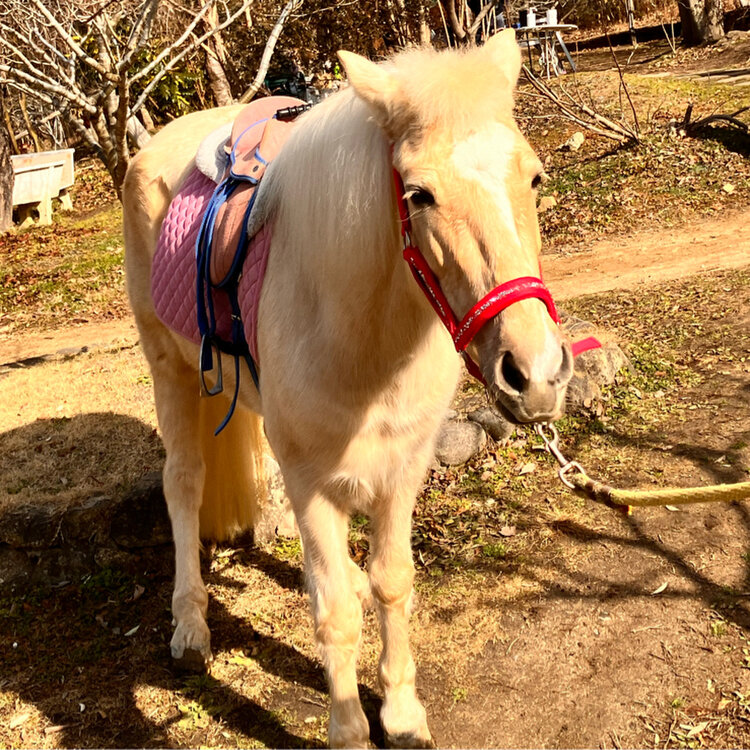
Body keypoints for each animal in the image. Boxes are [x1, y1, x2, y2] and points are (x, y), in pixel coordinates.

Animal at [123, 32, 572, 748]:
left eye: (533, 177)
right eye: (418, 195)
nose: (534, 374)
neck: (365, 340)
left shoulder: (403, 468)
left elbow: (393, 584)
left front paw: (403, 713)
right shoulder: (313, 482)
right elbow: (332, 613)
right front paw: (349, 726)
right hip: (171, 371)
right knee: (185, 484)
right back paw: (189, 625)